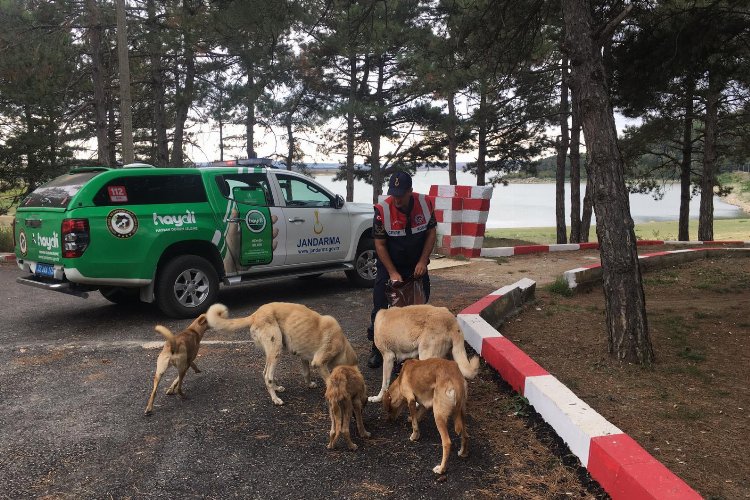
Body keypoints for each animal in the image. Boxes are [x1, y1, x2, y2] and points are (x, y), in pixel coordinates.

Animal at [206, 300, 358, 406]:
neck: (342, 344)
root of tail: (255, 315)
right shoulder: (319, 362)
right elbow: (329, 380)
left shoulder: (304, 357)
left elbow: (306, 373)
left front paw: (309, 384)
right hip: (276, 350)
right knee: (268, 376)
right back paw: (276, 399)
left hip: (272, 353)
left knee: (265, 373)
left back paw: (277, 388)